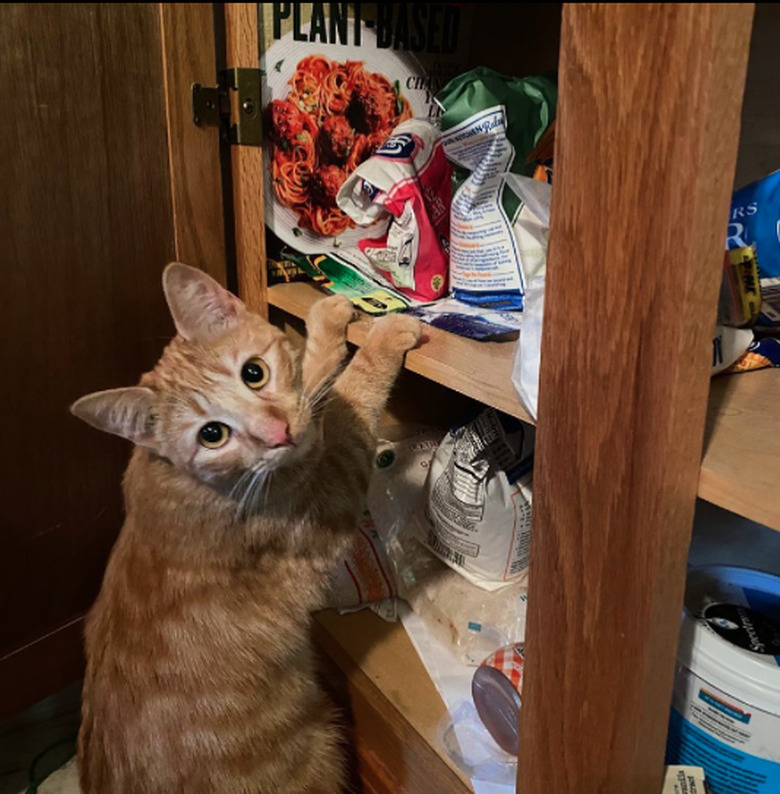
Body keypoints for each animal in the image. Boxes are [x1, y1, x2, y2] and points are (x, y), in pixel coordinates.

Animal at [72, 262, 424, 788]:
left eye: (254, 373)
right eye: (212, 435)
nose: (276, 434)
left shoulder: (308, 430)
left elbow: (316, 390)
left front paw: (327, 321)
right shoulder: (332, 489)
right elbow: (351, 402)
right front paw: (384, 339)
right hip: (323, 742)